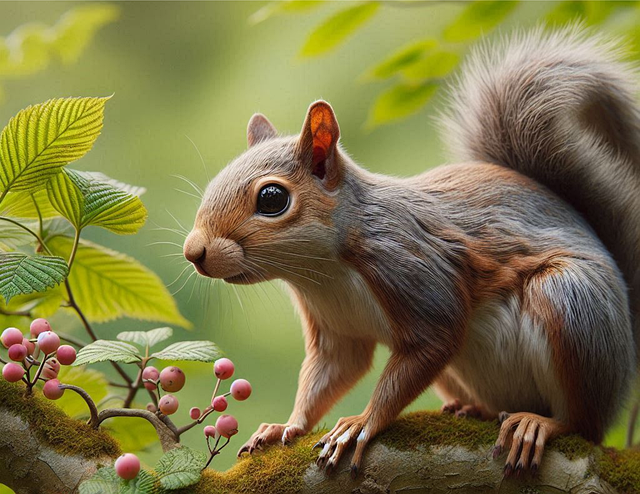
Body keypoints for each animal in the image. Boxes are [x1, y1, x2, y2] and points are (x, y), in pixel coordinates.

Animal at [184, 27, 640, 478]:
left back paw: (540, 423)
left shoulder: (410, 265)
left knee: (583, 423)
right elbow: (330, 374)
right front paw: (287, 426)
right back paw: (472, 409)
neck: (324, 271)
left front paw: (361, 422)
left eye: (272, 198)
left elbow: (434, 339)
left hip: (571, 304)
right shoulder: (336, 330)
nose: (194, 251)